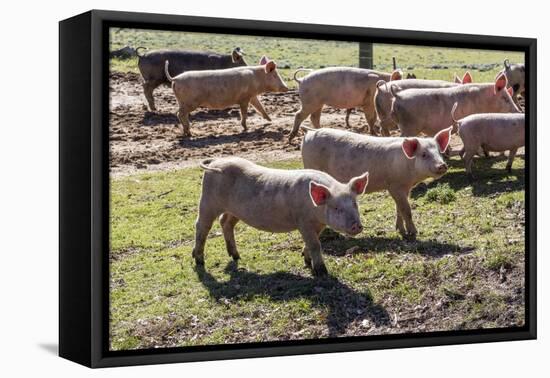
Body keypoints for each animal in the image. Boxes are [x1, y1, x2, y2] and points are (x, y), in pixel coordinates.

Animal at [194, 157, 370, 278]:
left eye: (355, 204)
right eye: (336, 208)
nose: (357, 225)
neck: (316, 211)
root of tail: (215, 162)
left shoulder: (319, 224)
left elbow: (312, 242)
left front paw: (306, 260)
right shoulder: (303, 221)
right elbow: (315, 244)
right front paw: (322, 272)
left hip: (234, 210)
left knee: (225, 222)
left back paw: (236, 256)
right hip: (207, 201)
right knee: (201, 226)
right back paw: (199, 260)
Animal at [302, 126, 452, 239]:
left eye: (439, 152)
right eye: (424, 154)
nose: (442, 165)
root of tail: (311, 131)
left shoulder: (405, 187)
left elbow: (399, 209)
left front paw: (400, 230)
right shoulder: (394, 185)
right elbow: (406, 210)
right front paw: (414, 233)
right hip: (310, 164)